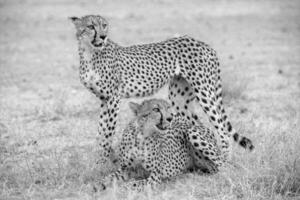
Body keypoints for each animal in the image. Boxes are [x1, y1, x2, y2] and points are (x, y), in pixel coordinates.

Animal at [69, 15, 253, 162]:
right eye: (90, 26)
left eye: (104, 25)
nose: (103, 36)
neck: (89, 52)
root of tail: (204, 44)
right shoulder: (104, 99)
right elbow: (101, 130)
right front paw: (100, 160)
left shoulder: (113, 98)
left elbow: (107, 131)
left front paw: (104, 160)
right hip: (179, 99)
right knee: (201, 126)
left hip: (204, 92)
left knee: (222, 129)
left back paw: (225, 160)